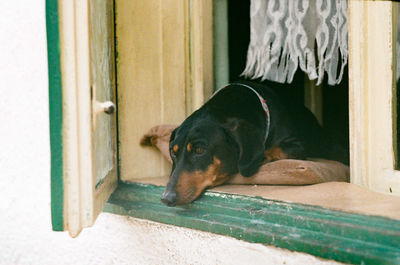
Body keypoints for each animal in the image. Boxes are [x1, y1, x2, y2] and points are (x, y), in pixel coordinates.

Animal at [161, 81, 348, 205]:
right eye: (173, 152)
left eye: (200, 150)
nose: (166, 198)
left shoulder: (298, 145)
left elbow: (276, 148)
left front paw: (259, 158)